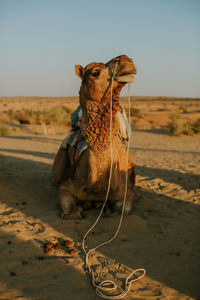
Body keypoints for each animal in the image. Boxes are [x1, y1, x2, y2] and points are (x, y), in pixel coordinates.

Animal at [52, 54, 138, 218]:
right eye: (95, 73)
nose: (126, 59)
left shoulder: (128, 191)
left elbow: (122, 210)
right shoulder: (66, 186)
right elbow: (71, 213)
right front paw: (83, 206)